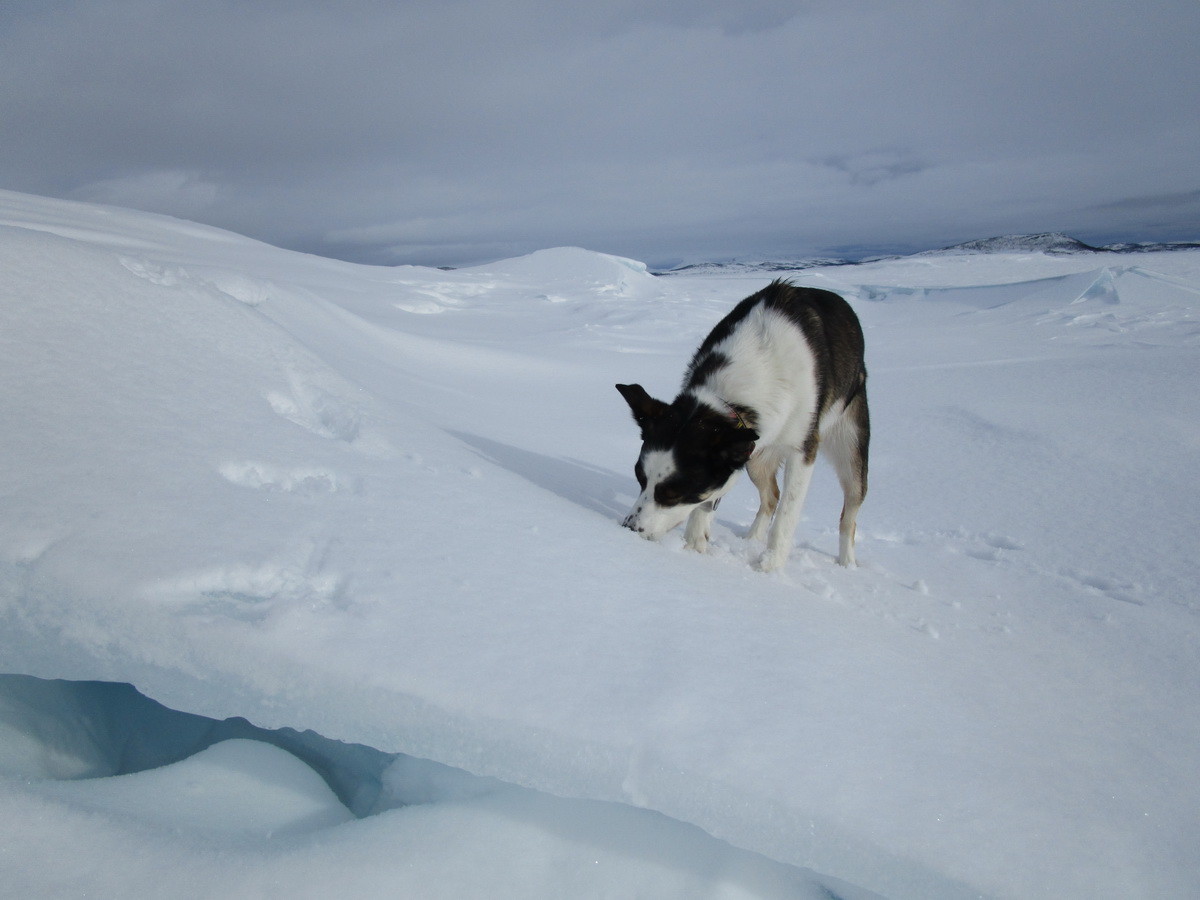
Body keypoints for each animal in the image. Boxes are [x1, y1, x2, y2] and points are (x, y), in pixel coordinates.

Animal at [616, 279, 869, 570]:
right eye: (640, 478)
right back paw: (751, 540)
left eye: (674, 494)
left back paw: (847, 564)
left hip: (850, 448)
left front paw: (770, 566)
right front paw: (694, 546)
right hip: (756, 458)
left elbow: (786, 516)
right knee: (770, 496)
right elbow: (710, 502)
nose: (630, 529)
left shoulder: (803, 450)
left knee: (849, 515)